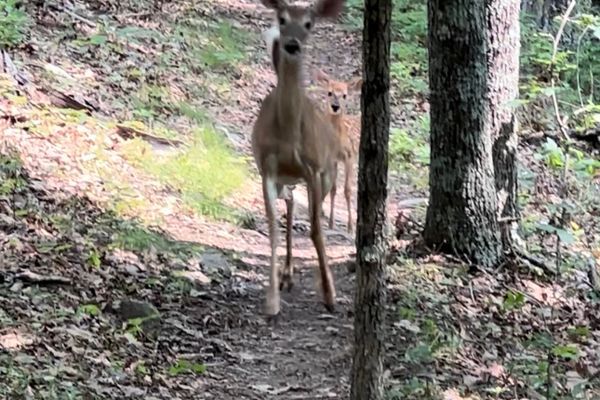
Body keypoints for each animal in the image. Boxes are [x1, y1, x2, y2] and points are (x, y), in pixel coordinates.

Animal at [252, 0, 346, 318]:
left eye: (309, 23)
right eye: (281, 18)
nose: (292, 45)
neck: (289, 133)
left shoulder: (314, 169)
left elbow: (317, 230)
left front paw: (330, 295)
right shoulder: (267, 168)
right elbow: (273, 230)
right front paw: (271, 302)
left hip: (327, 174)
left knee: (305, 208)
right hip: (285, 177)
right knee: (291, 203)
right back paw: (287, 275)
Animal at [314, 68, 360, 233]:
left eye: (345, 95)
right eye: (329, 92)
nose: (335, 106)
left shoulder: (349, 157)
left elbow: (347, 190)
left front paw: (350, 226)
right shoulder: (333, 159)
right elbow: (334, 189)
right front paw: (331, 223)